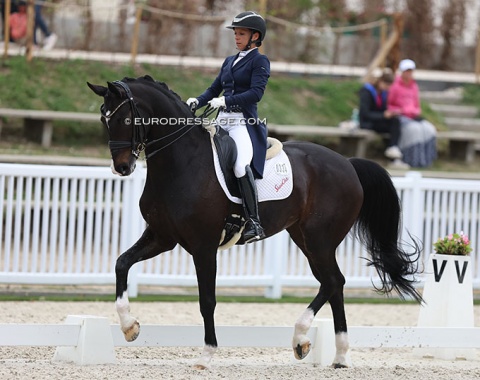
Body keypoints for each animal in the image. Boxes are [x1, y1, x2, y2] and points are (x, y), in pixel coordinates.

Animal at [86, 74, 420, 368]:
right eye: (104, 119)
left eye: (126, 119)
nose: (122, 168)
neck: (181, 163)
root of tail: (347, 164)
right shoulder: (162, 237)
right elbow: (121, 263)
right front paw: (129, 326)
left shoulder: (203, 246)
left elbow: (207, 300)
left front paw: (207, 355)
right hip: (306, 239)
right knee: (333, 284)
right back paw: (337, 355)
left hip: (319, 239)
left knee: (333, 282)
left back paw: (301, 338)